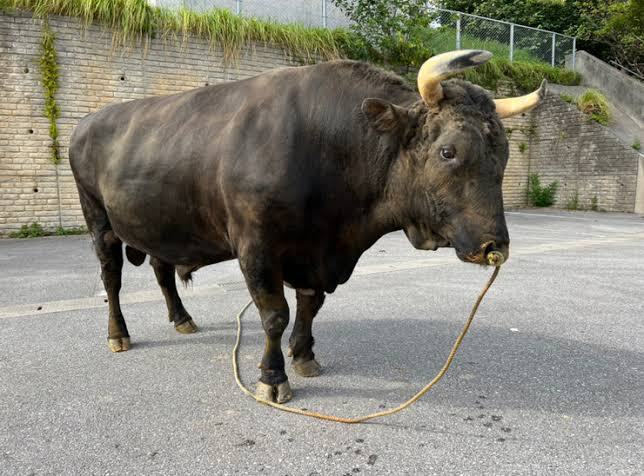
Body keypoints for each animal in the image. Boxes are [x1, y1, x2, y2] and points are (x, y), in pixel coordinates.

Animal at [70, 57, 524, 404]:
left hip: (159, 224)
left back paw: (182, 318)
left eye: (503, 154)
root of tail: (88, 121)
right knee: (111, 278)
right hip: (99, 220)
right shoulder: (256, 248)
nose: (494, 245)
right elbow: (274, 315)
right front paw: (272, 378)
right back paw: (118, 334)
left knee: (163, 271)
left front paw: (304, 356)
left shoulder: (316, 253)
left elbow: (309, 305)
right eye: (448, 151)